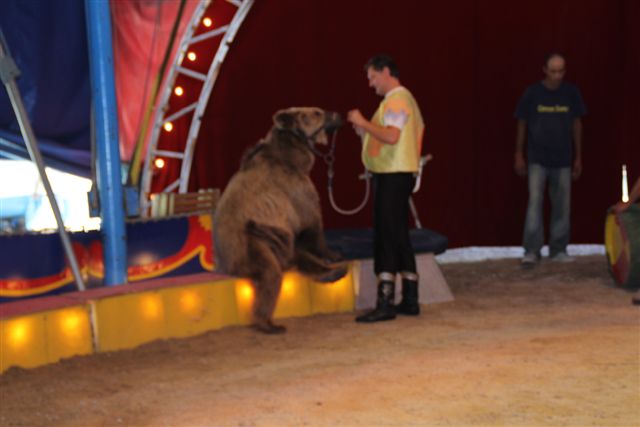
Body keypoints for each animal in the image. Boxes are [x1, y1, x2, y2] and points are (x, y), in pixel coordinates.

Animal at [213, 107, 347, 334]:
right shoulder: (295, 191)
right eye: (318, 112)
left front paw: (332, 260)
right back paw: (269, 324)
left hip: (275, 239)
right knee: (271, 275)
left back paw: (333, 272)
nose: (337, 115)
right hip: (251, 242)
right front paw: (333, 253)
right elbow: (312, 223)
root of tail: (227, 268)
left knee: (296, 255)